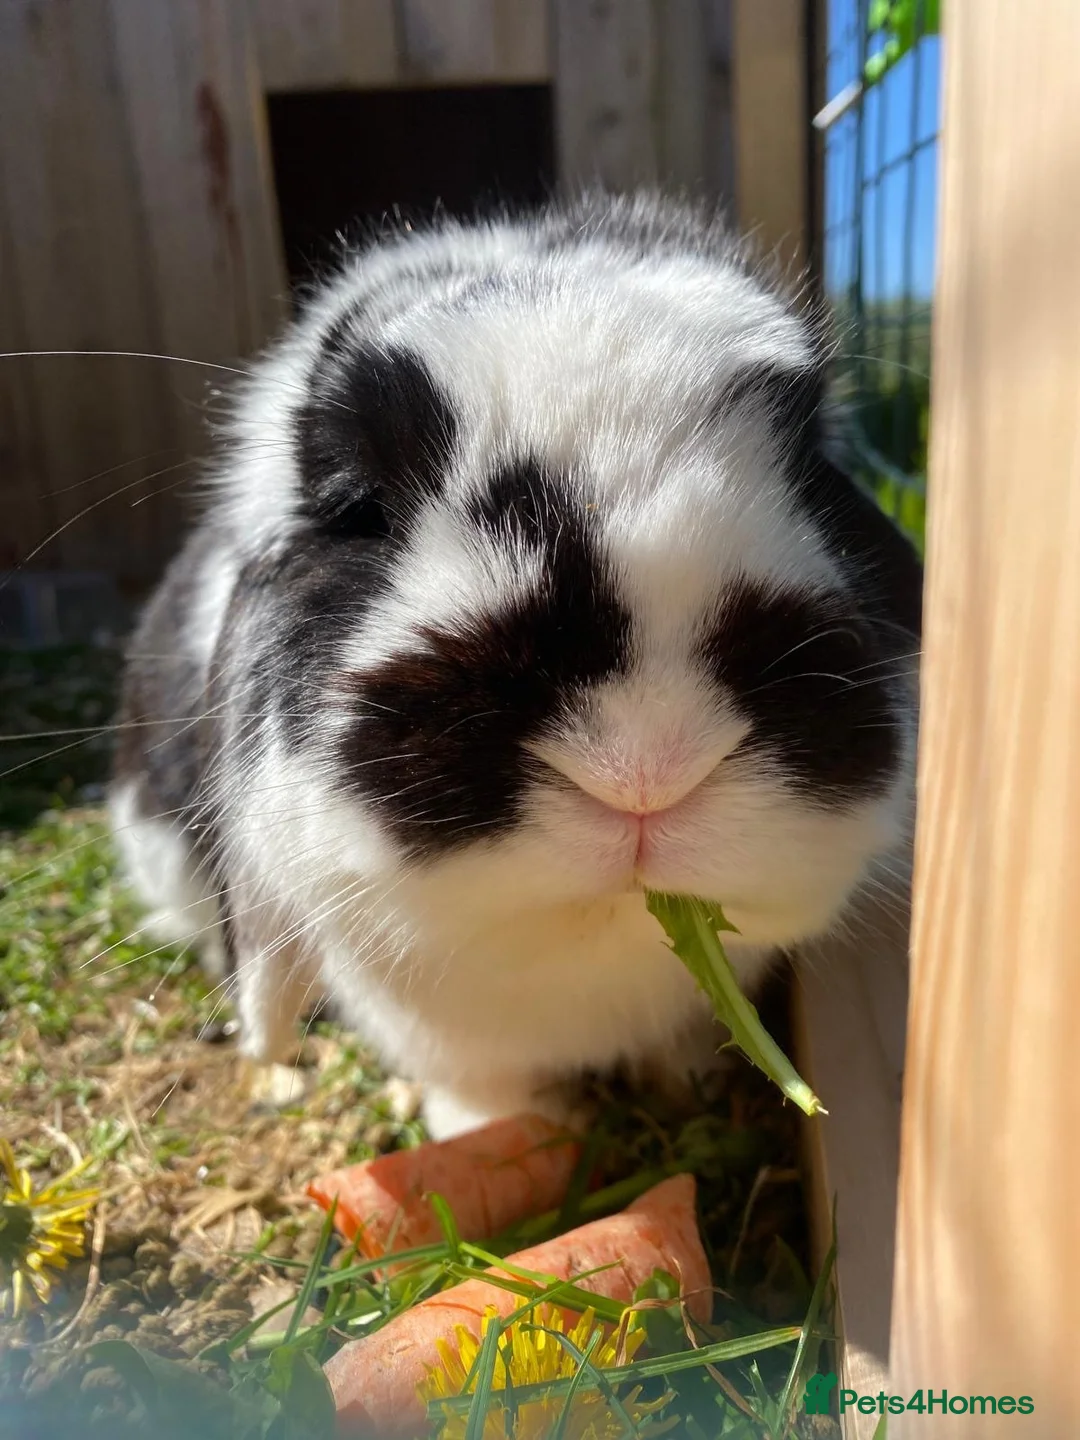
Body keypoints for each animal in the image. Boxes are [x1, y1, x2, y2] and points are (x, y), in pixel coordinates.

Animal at [109, 192, 921, 1141]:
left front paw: (687, 1086)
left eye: (812, 469)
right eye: (360, 505)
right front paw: (499, 1136)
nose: (647, 766)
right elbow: (479, 1085)